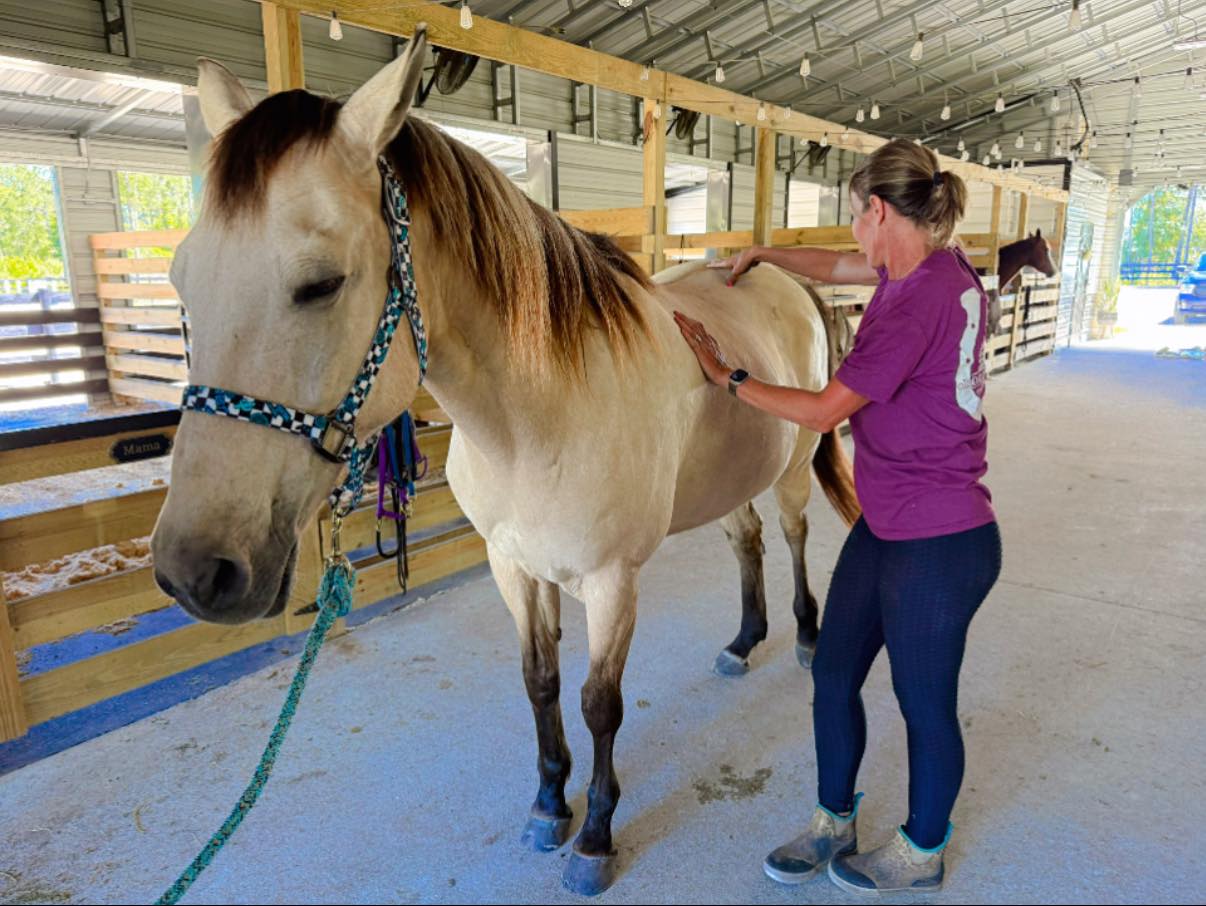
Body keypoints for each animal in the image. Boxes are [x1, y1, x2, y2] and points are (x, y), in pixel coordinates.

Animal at [150, 29, 859, 896]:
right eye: (182, 279)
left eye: (321, 284)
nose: (195, 571)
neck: (536, 420)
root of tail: (783, 280)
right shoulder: (513, 566)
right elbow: (539, 681)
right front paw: (550, 804)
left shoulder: (611, 583)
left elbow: (599, 702)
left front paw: (594, 838)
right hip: (731, 483)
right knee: (747, 542)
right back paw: (742, 642)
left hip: (791, 473)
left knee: (792, 538)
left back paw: (804, 637)